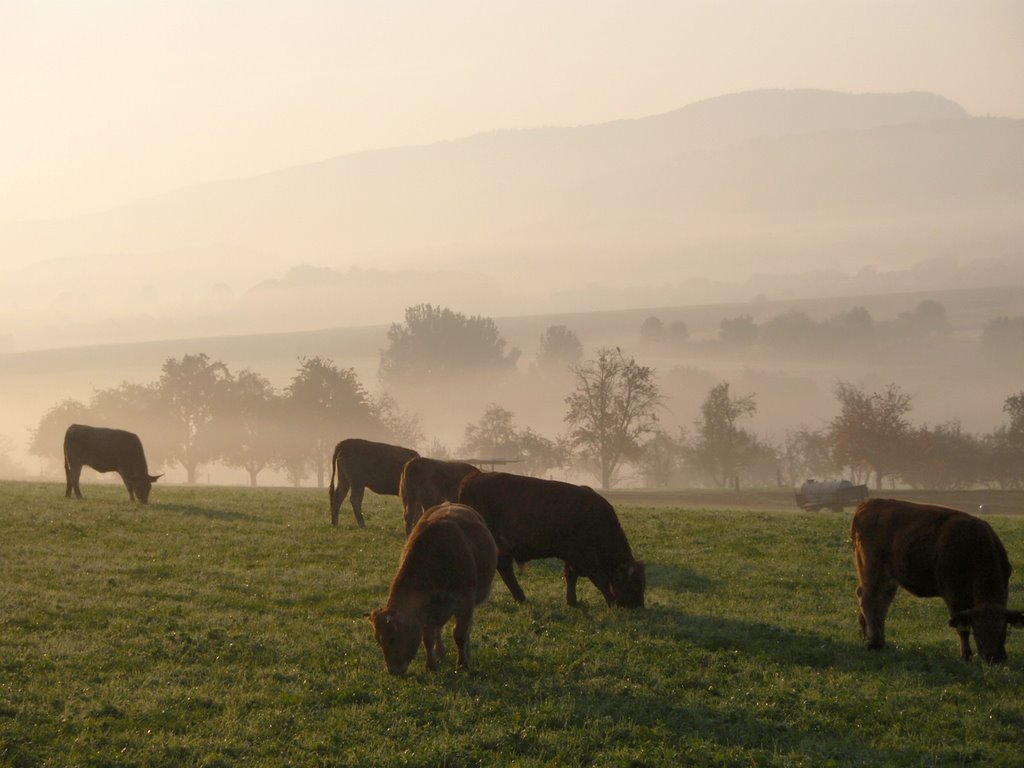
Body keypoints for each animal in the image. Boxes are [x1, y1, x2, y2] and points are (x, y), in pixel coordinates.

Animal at [370, 501, 497, 675]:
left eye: (393, 638)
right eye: (379, 641)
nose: (393, 670)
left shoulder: (465, 601)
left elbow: (460, 634)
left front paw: (462, 664)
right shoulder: (428, 609)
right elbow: (428, 638)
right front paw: (431, 665)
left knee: (467, 629)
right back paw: (440, 653)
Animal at [458, 473, 643, 610]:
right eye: (633, 584)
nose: (638, 606)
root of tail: (473, 478)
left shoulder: (571, 557)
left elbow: (571, 576)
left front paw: (572, 601)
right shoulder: (585, 557)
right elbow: (600, 579)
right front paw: (612, 602)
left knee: (504, 569)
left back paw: (520, 598)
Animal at [847, 499, 1024, 663]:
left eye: (1003, 631)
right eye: (978, 631)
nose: (994, 658)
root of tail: (870, 503)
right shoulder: (953, 595)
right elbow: (962, 628)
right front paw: (966, 655)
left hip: (888, 579)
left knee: (881, 603)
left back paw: (879, 639)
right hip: (873, 571)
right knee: (867, 600)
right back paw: (874, 643)